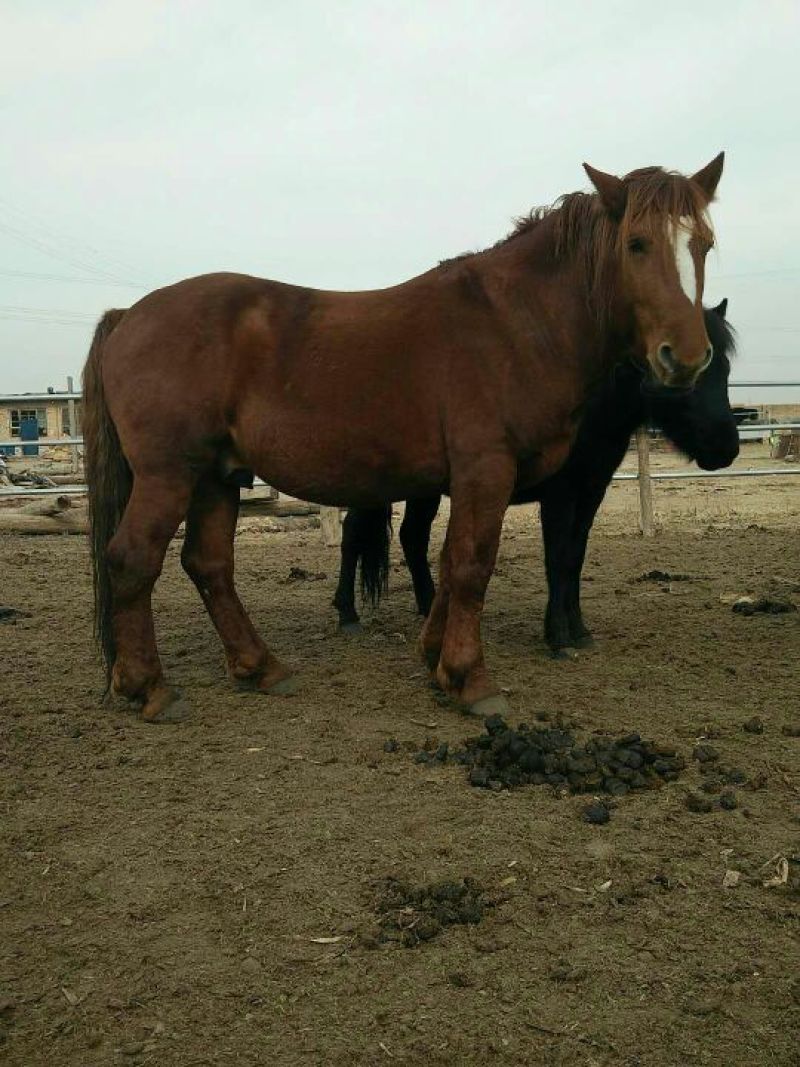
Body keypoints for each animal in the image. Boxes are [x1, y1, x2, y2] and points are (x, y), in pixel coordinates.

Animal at [333, 299, 739, 655]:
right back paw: (348, 614)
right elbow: (557, 558)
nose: (726, 447)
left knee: (411, 537)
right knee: (355, 532)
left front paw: (579, 630)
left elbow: (575, 557)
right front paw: (557, 636)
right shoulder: (560, 496)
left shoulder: (591, 493)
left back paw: (429, 606)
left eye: (724, 369)